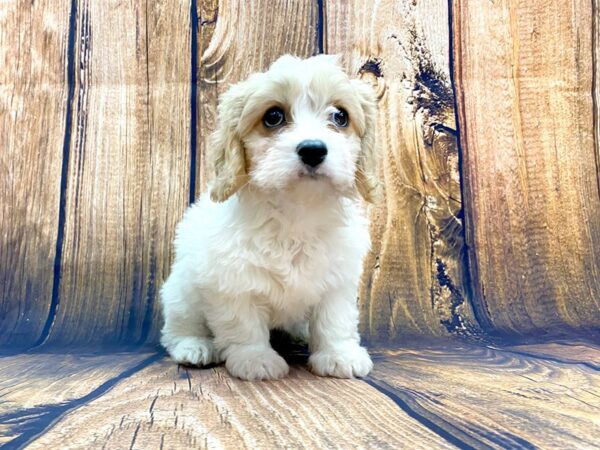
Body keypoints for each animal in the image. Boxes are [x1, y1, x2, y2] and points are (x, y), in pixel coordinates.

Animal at [159, 54, 380, 382]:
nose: (313, 149)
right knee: (177, 329)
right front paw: (255, 360)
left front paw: (339, 355)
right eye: (273, 117)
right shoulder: (231, 283)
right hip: (181, 294)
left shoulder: (337, 280)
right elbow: (243, 325)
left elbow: (334, 320)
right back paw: (195, 347)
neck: (297, 211)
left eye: (340, 116)